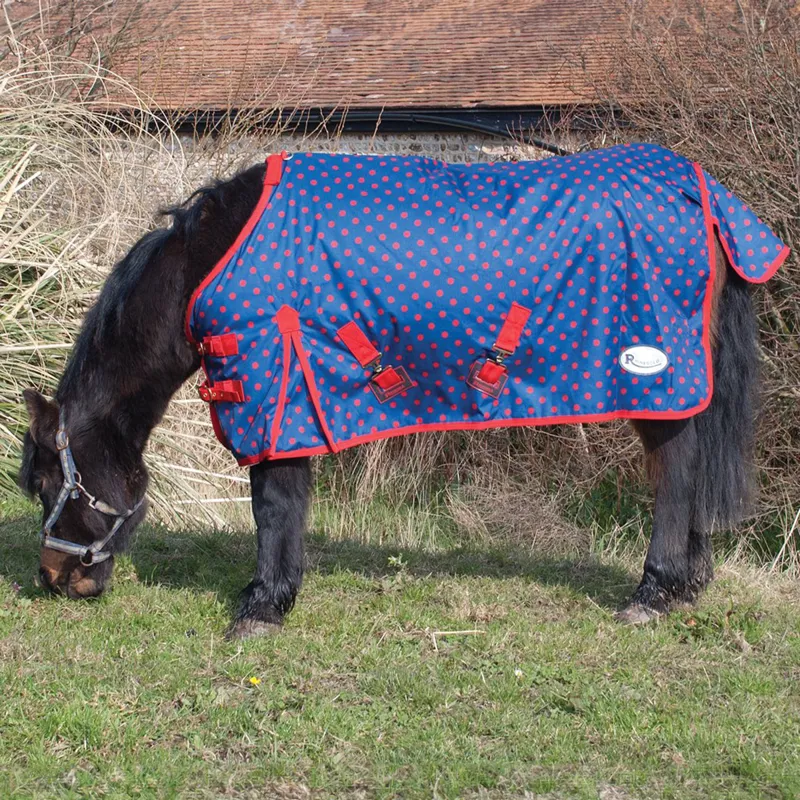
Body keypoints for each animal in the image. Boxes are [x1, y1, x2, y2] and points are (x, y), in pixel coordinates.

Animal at [19, 144, 788, 639]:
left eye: (50, 483)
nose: (56, 581)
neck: (209, 261)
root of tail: (702, 192)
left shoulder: (276, 396)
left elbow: (274, 505)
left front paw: (262, 607)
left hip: (655, 379)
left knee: (676, 474)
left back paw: (654, 592)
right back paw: (687, 584)